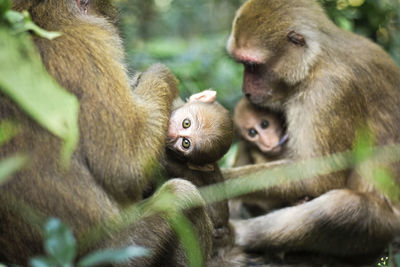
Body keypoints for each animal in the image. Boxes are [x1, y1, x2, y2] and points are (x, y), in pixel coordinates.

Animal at [227, 0, 398, 264]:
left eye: (252, 66)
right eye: (243, 64)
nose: (245, 90)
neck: (314, 63)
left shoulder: (328, 92)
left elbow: (318, 179)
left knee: (342, 210)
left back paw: (238, 233)